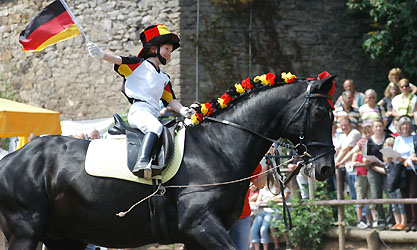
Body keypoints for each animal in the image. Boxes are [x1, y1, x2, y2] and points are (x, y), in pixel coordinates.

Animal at [0, 73, 334, 249]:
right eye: (320, 114)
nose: (326, 168)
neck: (219, 145)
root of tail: (10, 160)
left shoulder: (196, 236)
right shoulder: (200, 225)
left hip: (65, 237)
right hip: (25, 233)